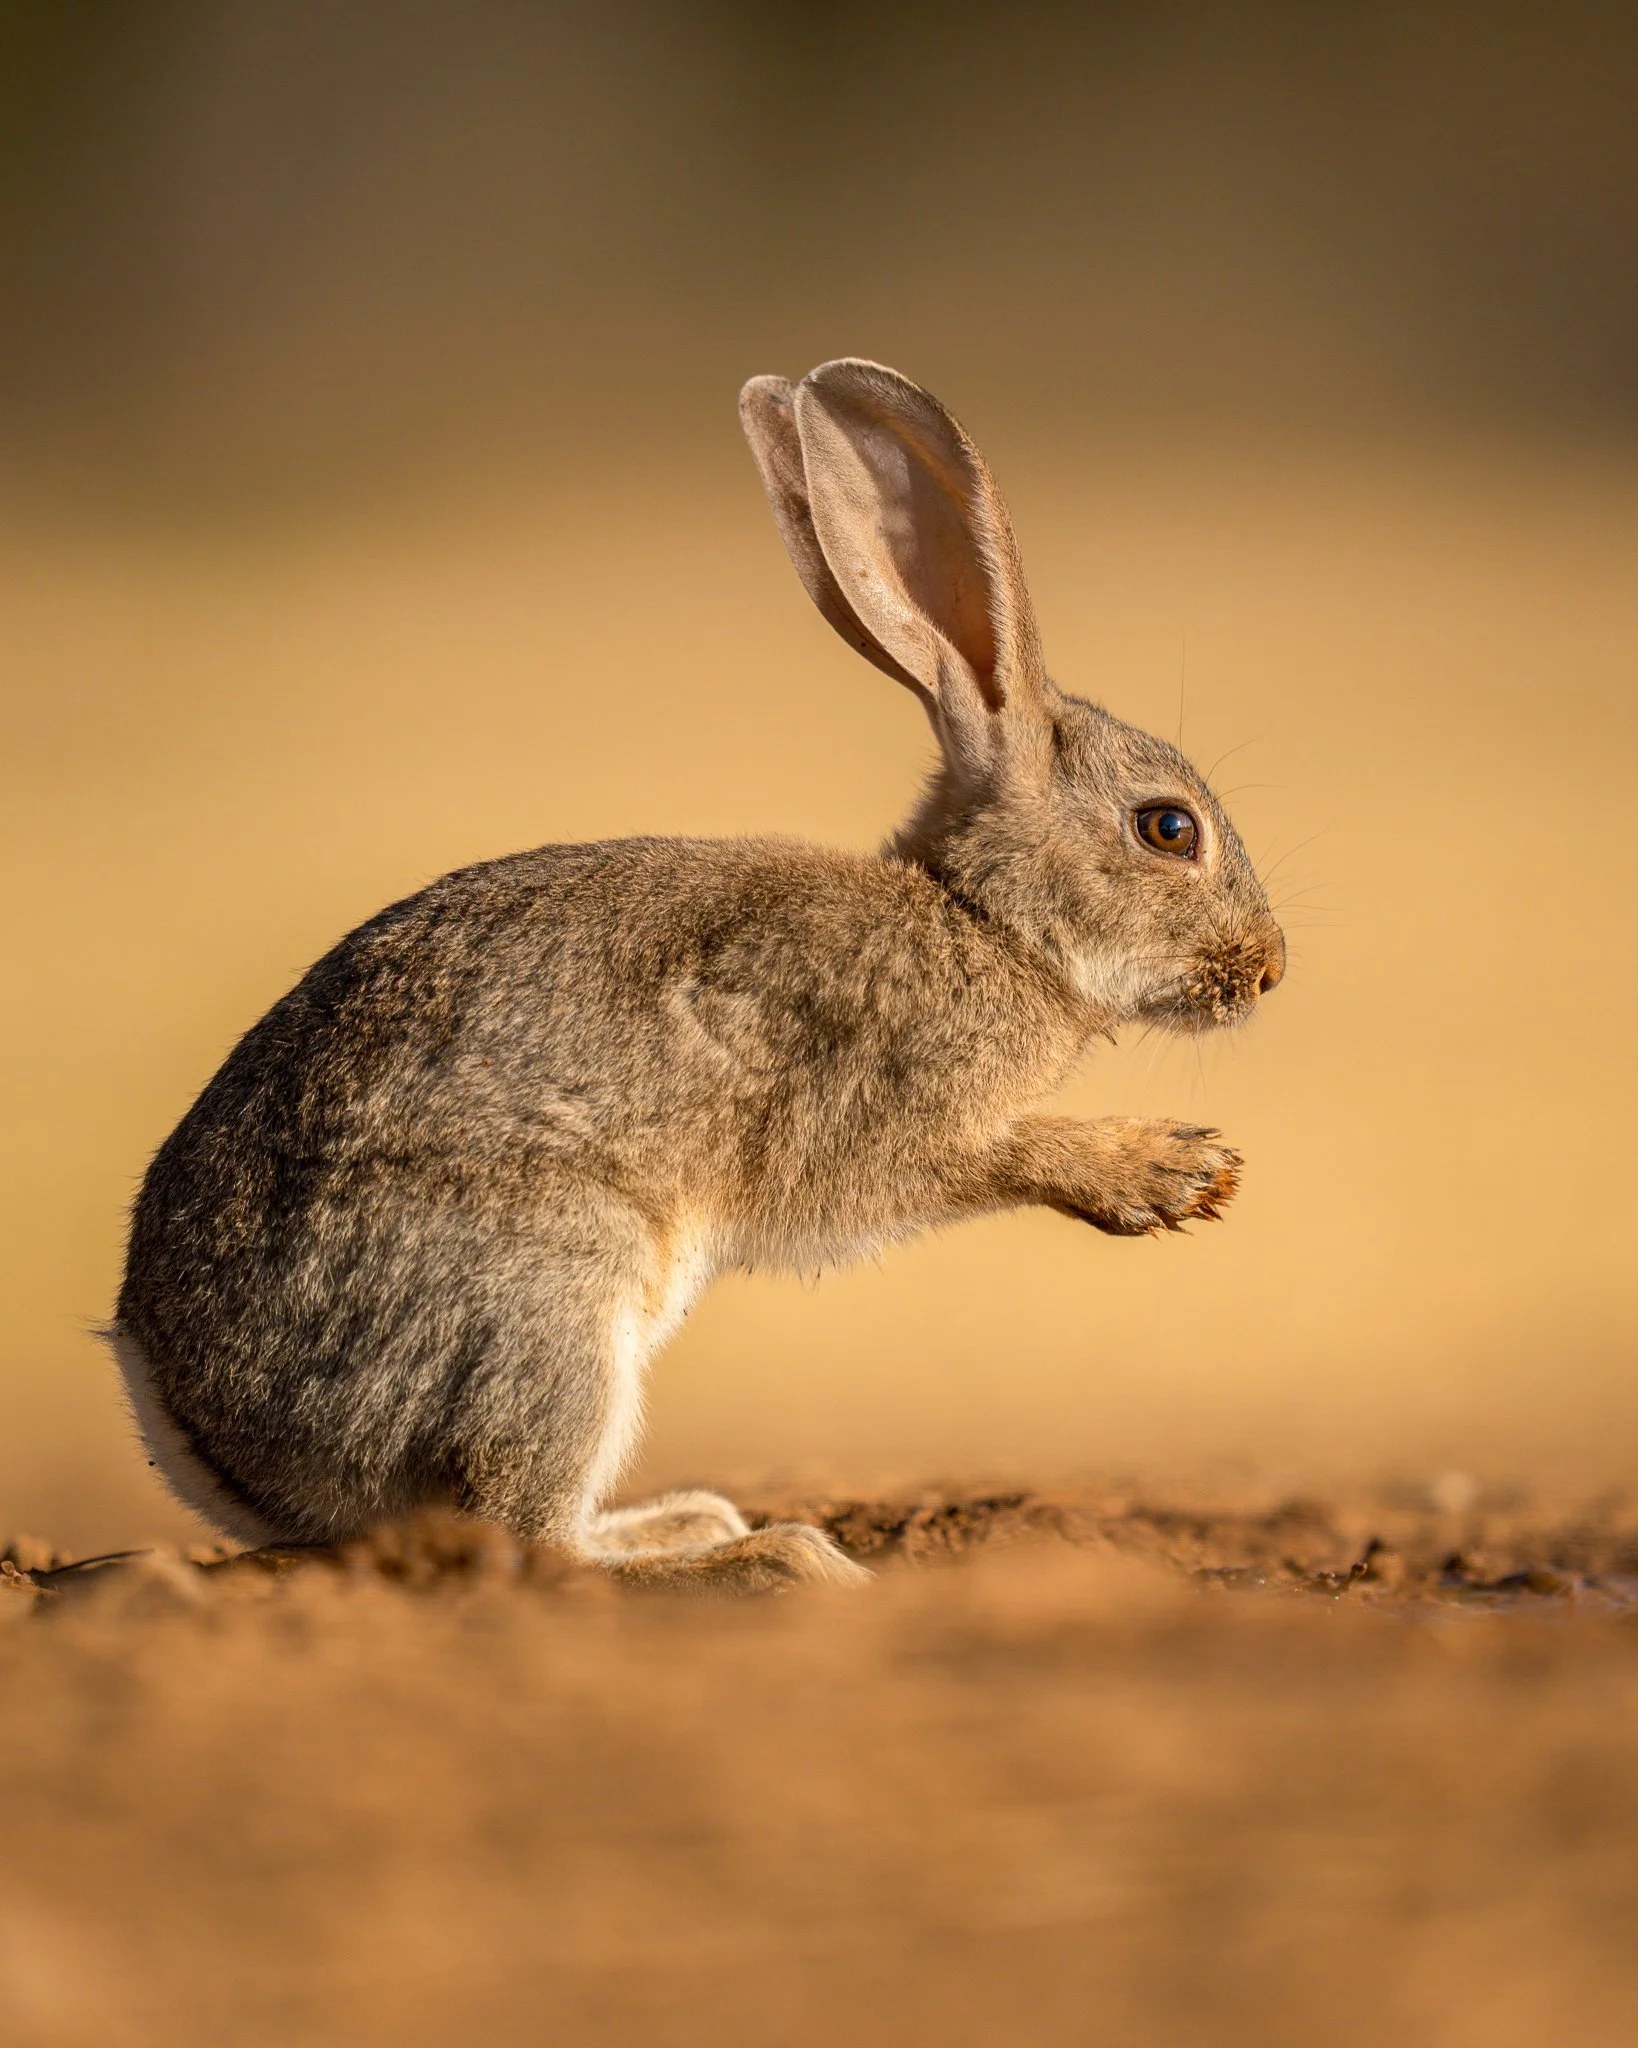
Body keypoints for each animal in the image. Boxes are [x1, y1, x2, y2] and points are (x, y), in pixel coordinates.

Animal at [110, 358, 1285, 1590]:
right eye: (1168, 829)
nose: (1270, 968)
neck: (984, 918)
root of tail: (221, 1444)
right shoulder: (880, 1110)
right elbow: (981, 1155)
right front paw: (1170, 1170)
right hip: (553, 1298)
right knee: (532, 1545)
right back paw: (776, 1560)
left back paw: (700, 1523)